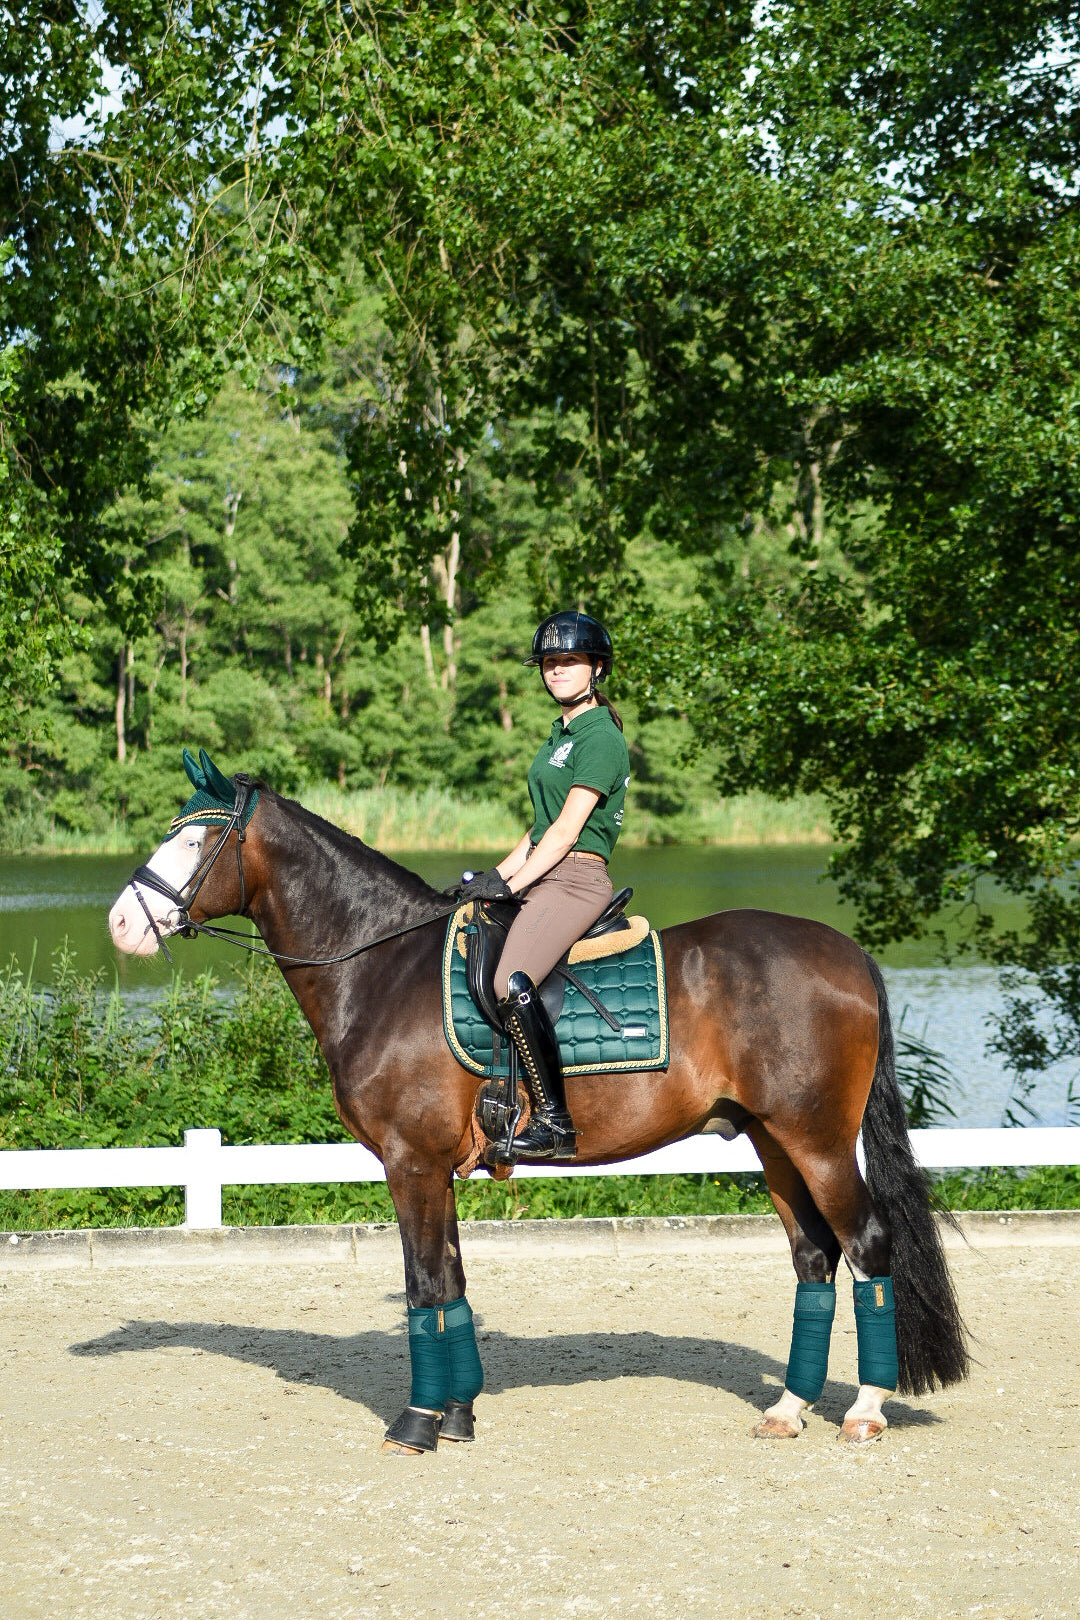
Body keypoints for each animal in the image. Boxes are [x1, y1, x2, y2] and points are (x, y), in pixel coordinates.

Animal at [108, 752, 969, 1454]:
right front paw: (458, 1416)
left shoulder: (410, 1163)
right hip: (772, 1140)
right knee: (814, 1257)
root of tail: (845, 951)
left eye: (195, 841)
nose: (121, 922)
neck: (381, 965)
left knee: (867, 1246)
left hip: (817, 1138)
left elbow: (425, 1287)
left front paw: (416, 1423)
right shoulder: (434, 1168)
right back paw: (788, 1409)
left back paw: (865, 1409)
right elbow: (453, 1286)